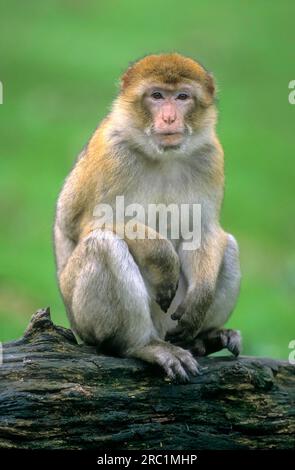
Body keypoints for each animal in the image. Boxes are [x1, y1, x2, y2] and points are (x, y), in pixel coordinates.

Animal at [54, 52, 242, 382]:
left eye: (182, 97)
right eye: (157, 96)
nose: (169, 118)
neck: (163, 156)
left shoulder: (210, 156)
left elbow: (203, 230)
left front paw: (201, 299)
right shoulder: (111, 153)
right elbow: (84, 226)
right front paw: (163, 257)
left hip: (172, 324)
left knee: (228, 245)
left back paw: (205, 340)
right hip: (84, 321)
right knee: (104, 244)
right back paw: (142, 345)